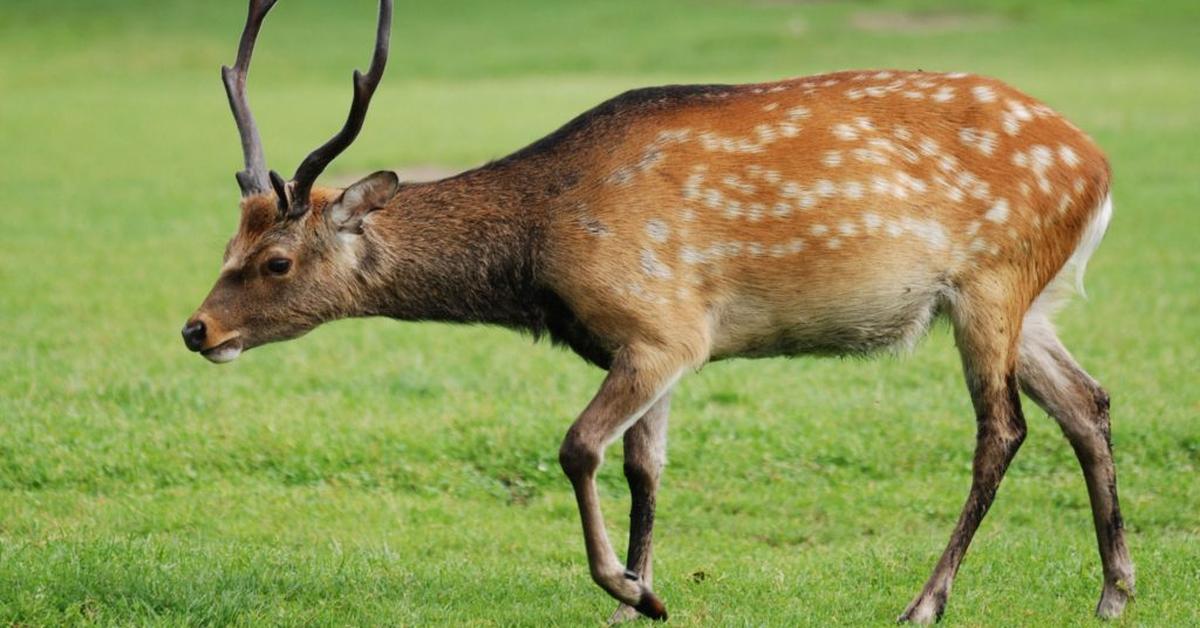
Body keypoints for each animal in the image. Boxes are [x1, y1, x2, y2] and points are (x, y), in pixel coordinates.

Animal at [180, 0, 1132, 619]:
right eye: (226, 241)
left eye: (275, 261)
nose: (197, 329)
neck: (540, 250)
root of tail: (1098, 167)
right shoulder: (650, 346)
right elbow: (646, 468)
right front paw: (639, 595)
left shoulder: (662, 325)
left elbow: (578, 448)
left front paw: (630, 591)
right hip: (1030, 300)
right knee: (1087, 402)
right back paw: (1114, 590)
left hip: (992, 279)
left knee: (1002, 428)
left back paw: (926, 601)